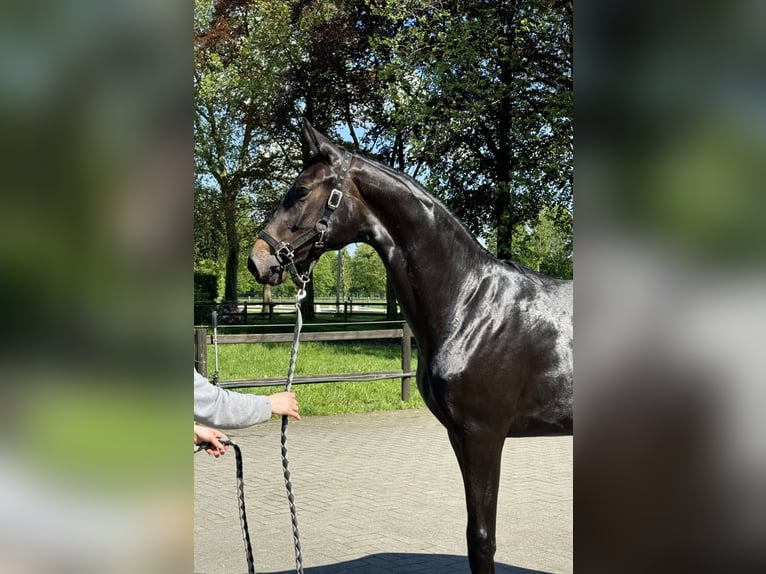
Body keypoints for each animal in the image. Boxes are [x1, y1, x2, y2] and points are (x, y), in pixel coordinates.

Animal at [248, 120, 573, 574]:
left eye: (300, 190)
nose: (257, 261)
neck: (470, 303)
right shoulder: (459, 436)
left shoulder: (483, 434)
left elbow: (482, 539)